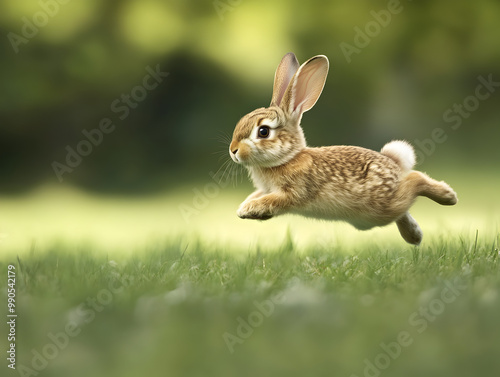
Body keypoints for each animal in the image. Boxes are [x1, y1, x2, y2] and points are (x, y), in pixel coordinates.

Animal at [229, 52, 458, 244]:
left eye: (263, 131)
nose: (233, 150)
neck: (289, 157)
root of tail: (393, 164)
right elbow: (257, 195)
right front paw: (245, 208)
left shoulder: (295, 191)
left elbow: (274, 200)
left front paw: (248, 209)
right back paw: (415, 235)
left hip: (380, 208)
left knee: (415, 179)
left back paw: (448, 196)